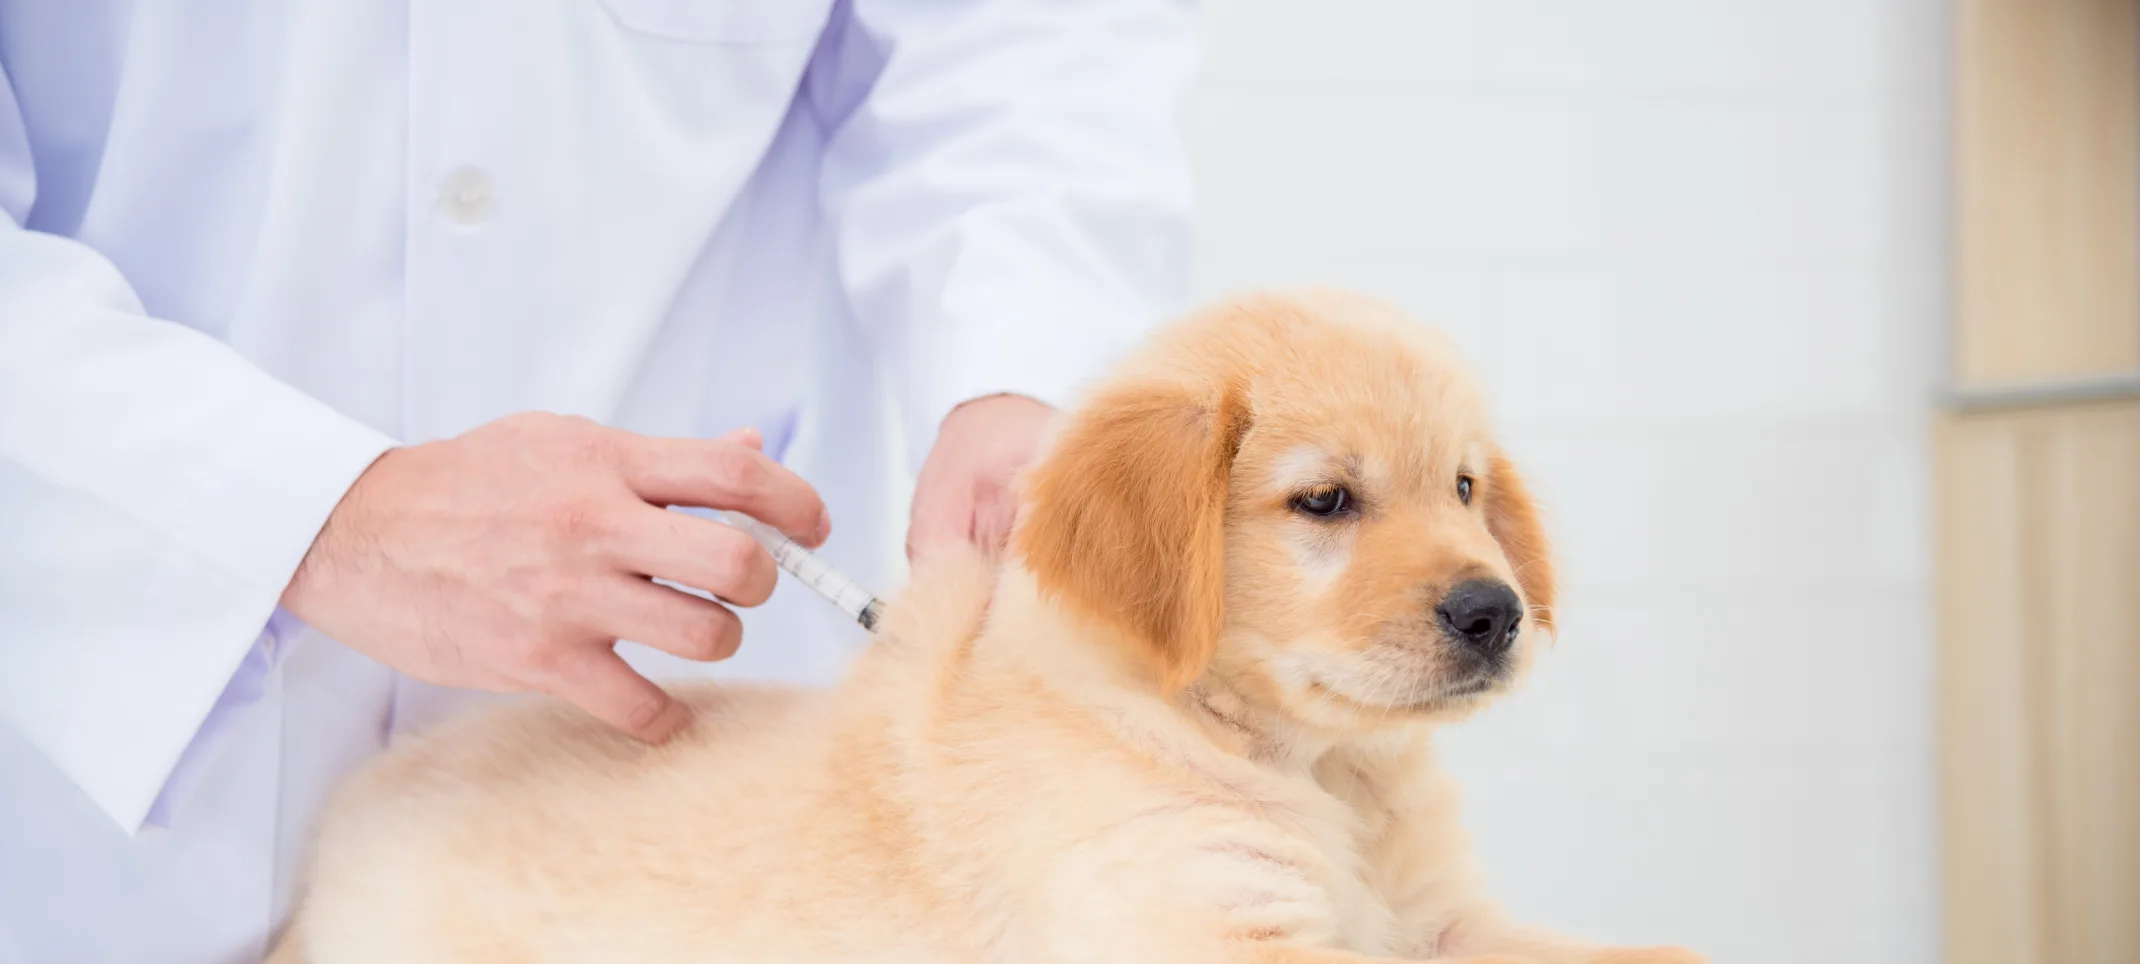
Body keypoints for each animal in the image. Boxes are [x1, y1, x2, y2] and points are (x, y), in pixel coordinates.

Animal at [271, 287, 1703, 964]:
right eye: (1326, 501)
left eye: (1463, 487)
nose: (1495, 611)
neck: (1322, 772)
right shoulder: (1214, 931)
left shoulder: (1440, 917)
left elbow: (1638, 949)